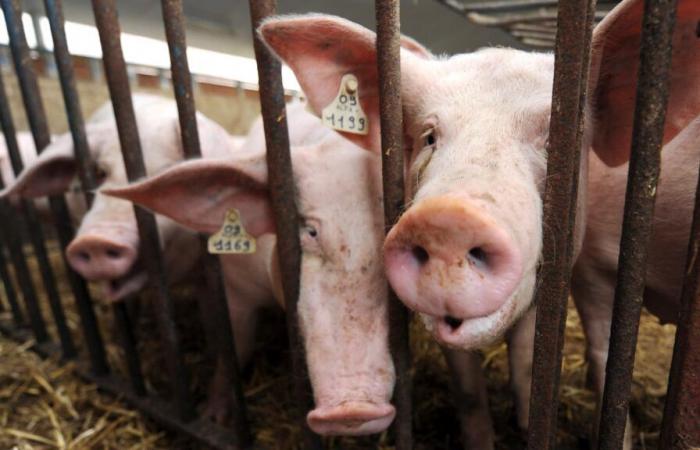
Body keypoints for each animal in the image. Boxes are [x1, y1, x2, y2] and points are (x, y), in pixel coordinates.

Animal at [262, 0, 700, 444]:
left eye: (552, 142)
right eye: (429, 136)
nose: (448, 219)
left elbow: (532, 362)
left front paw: (526, 422)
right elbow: (469, 390)